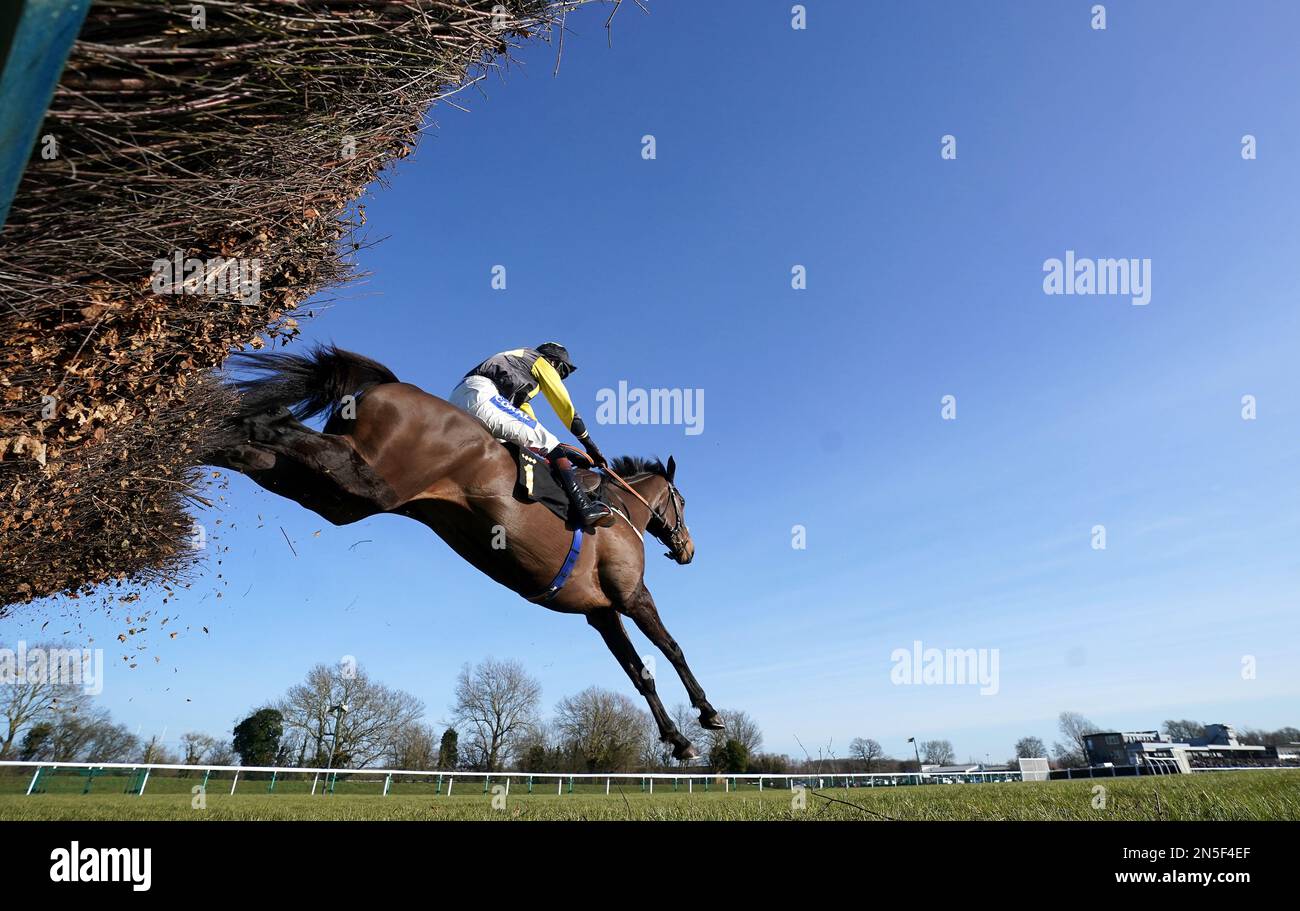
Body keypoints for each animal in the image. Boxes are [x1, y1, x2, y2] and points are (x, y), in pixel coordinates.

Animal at [208, 345, 728, 758]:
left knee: (260, 451)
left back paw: (204, 439)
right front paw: (708, 713)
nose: (688, 549)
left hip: (342, 497)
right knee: (274, 428)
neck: (621, 510)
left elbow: (640, 674)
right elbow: (672, 649)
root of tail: (391, 385)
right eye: (683, 502)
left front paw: (678, 740)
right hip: (367, 478)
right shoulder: (631, 595)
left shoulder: (600, 612)